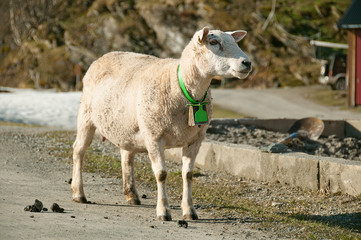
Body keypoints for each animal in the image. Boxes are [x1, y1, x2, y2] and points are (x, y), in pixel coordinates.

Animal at [71, 27, 250, 220]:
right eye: (214, 42)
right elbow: (161, 174)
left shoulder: (196, 139)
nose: (247, 63)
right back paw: (79, 193)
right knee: (79, 150)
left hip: (127, 126)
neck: (181, 86)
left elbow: (188, 174)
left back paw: (131, 195)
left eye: (235, 42)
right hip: (86, 116)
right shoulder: (154, 136)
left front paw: (189, 210)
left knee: (126, 155)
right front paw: (164, 211)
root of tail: (105, 55)